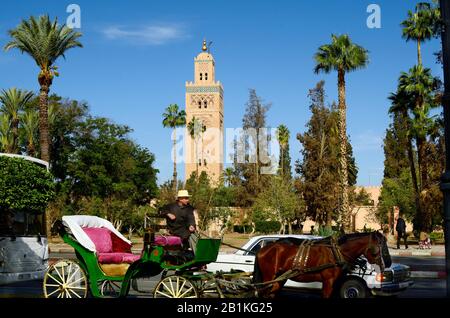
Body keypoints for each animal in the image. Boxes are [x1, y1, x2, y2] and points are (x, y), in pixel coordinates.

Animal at [253, 231, 390, 298]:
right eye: (379, 247)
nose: (388, 263)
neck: (337, 252)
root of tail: (262, 249)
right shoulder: (328, 281)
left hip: (280, 278)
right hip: (269, 277)